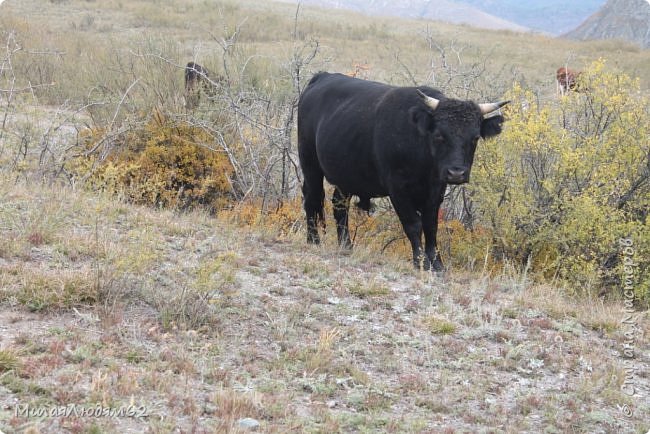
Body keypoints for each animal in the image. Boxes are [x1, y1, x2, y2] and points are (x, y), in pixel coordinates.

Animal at [298, 73, 506, 272]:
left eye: (475, 138)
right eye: (439, 135)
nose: (456, 173)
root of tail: (323, 76)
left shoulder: (436, 190)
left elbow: (431, 226)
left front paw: (437, 264)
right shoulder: (398, 189)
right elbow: (413, 224)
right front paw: (421, 262)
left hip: (346, 177)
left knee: (339, 205)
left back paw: (346, 246)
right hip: (310, 165)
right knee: (312, 199)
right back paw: (313, 240)